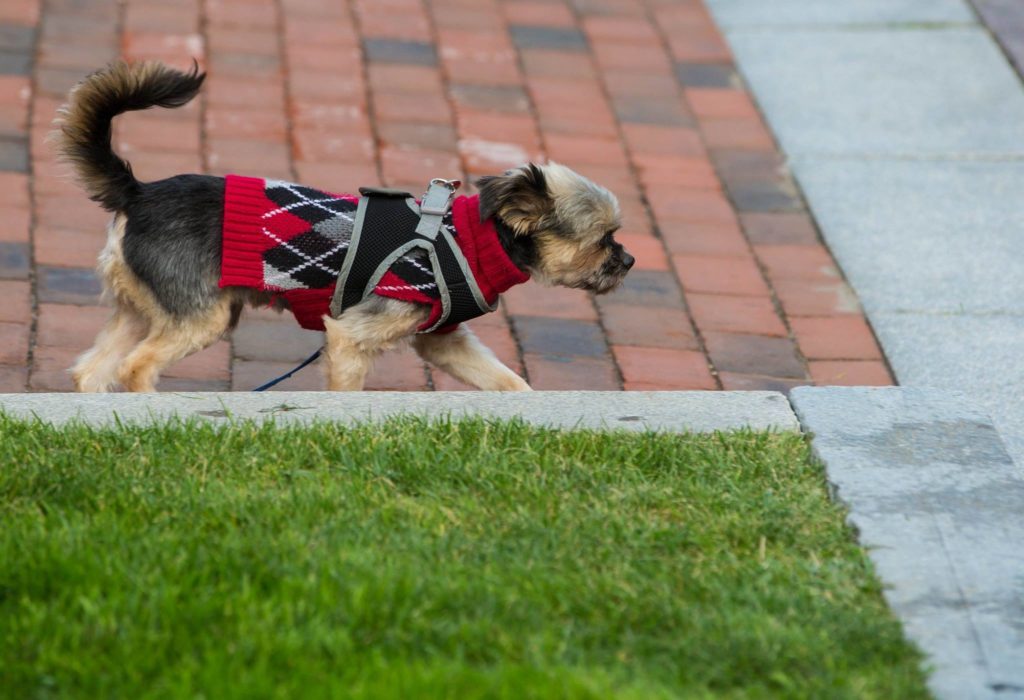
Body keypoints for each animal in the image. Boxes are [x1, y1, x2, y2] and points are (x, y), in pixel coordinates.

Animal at [56, 62, 634, 390]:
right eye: (603, 240)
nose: (628, 261)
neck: (471, 239)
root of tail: (138, 191)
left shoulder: (443, 342)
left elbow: (511, 385)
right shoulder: (351, 339)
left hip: (143, 309)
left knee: (94, 371)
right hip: (202, 317)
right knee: (136, 368)